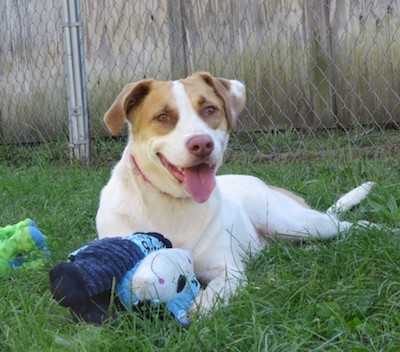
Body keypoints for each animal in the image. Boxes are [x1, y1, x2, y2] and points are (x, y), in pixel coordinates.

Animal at [97, 71, 376, 314]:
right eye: (163, 116)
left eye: (210, 109)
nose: (202, 144)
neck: (171, 204)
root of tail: (265, 184)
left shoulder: (227, 270)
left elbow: (212, 296)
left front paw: (196, 310)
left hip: (295, 222)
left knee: (345, 224)